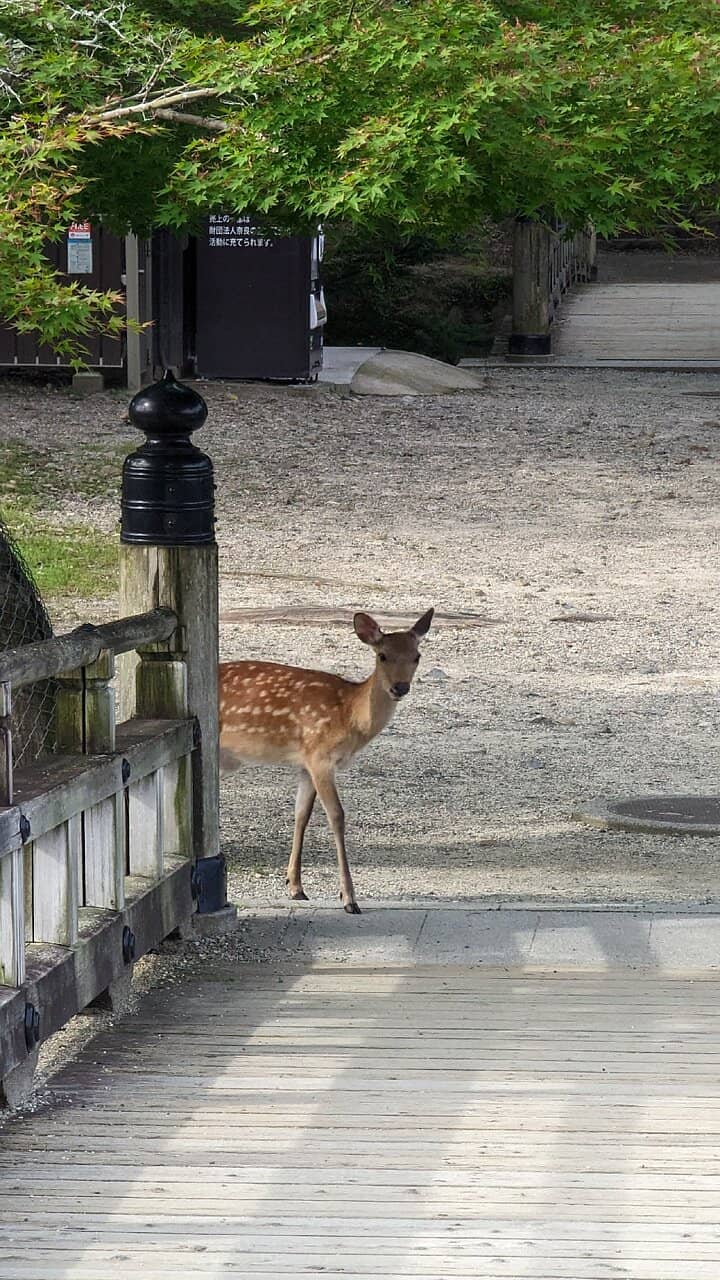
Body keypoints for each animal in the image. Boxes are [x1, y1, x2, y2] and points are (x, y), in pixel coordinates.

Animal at [219, 609, 434, 914]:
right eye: (382, 655)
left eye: (417, 656)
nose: (400, 687)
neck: (350, 715)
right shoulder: (320, 756)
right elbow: (337, 816)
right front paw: (349, 898)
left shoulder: (305, 763)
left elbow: (302, 815)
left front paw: (295, 886)